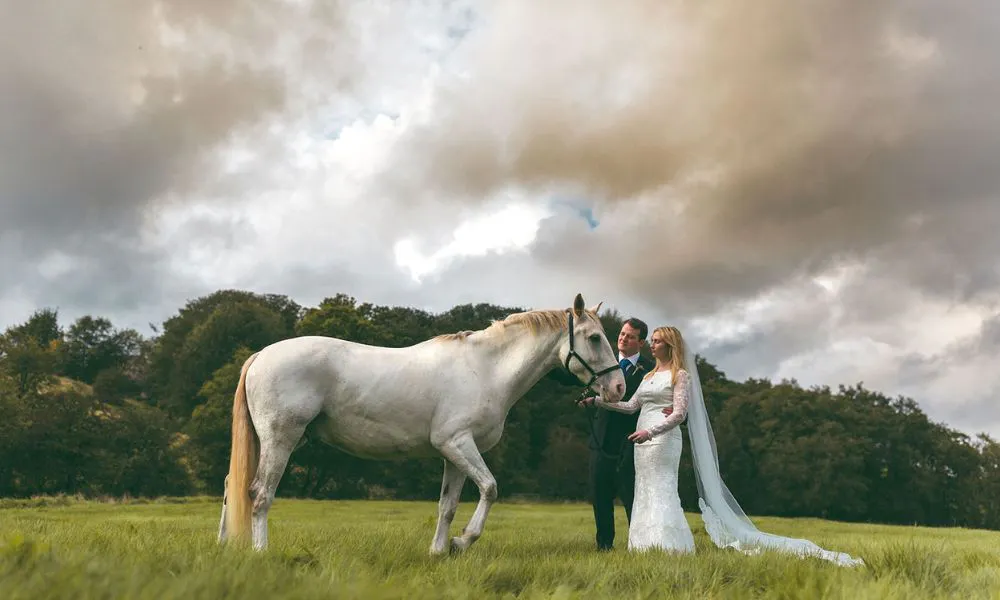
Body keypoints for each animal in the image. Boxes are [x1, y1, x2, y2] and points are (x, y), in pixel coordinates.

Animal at [218, 293, 626, 555]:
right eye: (594, 338)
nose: (619, 387)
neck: (486, 369)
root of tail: (261, 355)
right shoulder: (457, 443)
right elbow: (490, 489)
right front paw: (462, 541)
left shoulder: (453, 454)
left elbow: (448, 505)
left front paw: (439, 551)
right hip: (281, 439)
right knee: (259, 494)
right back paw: (260, 552)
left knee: (230, 486)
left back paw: (225, 546)